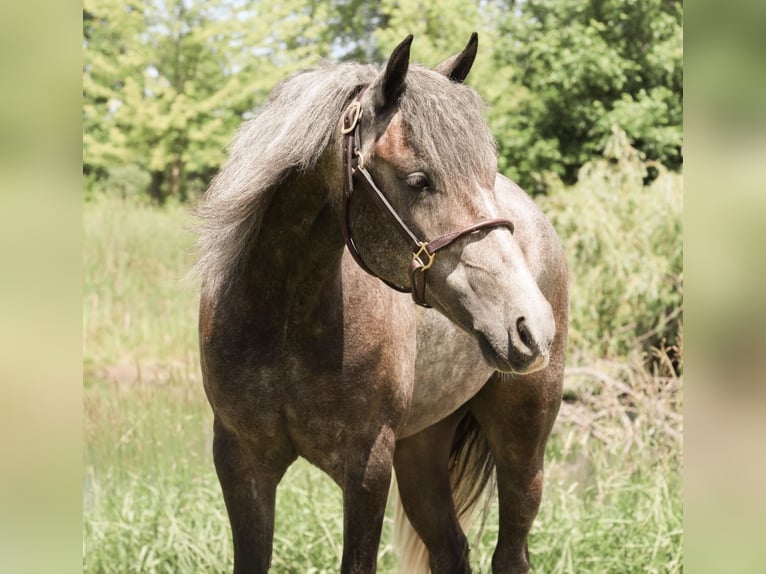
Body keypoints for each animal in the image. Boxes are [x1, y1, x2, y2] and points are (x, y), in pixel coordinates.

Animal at [195, 34, 568, 574]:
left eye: (487, 174)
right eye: (418, 180)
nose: (530, 325)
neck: (286, 319)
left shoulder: (367, 467)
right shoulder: (241, 463)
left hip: (523, 440)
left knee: (510, 555)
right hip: (420, 448)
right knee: (451, 548)